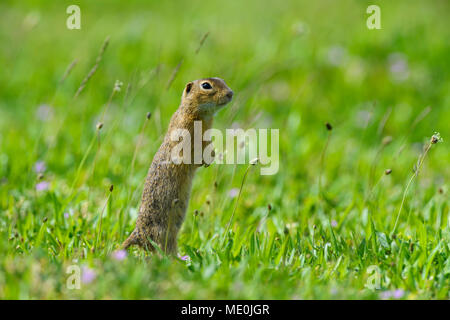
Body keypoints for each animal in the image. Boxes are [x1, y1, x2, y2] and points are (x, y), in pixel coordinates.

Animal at [123, 77, 236, 252]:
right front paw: (206, 160)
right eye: (206, 85)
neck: (198, 114)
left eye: (222, 80)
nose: (230, 93)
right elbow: (191, 155)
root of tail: (138, 234)